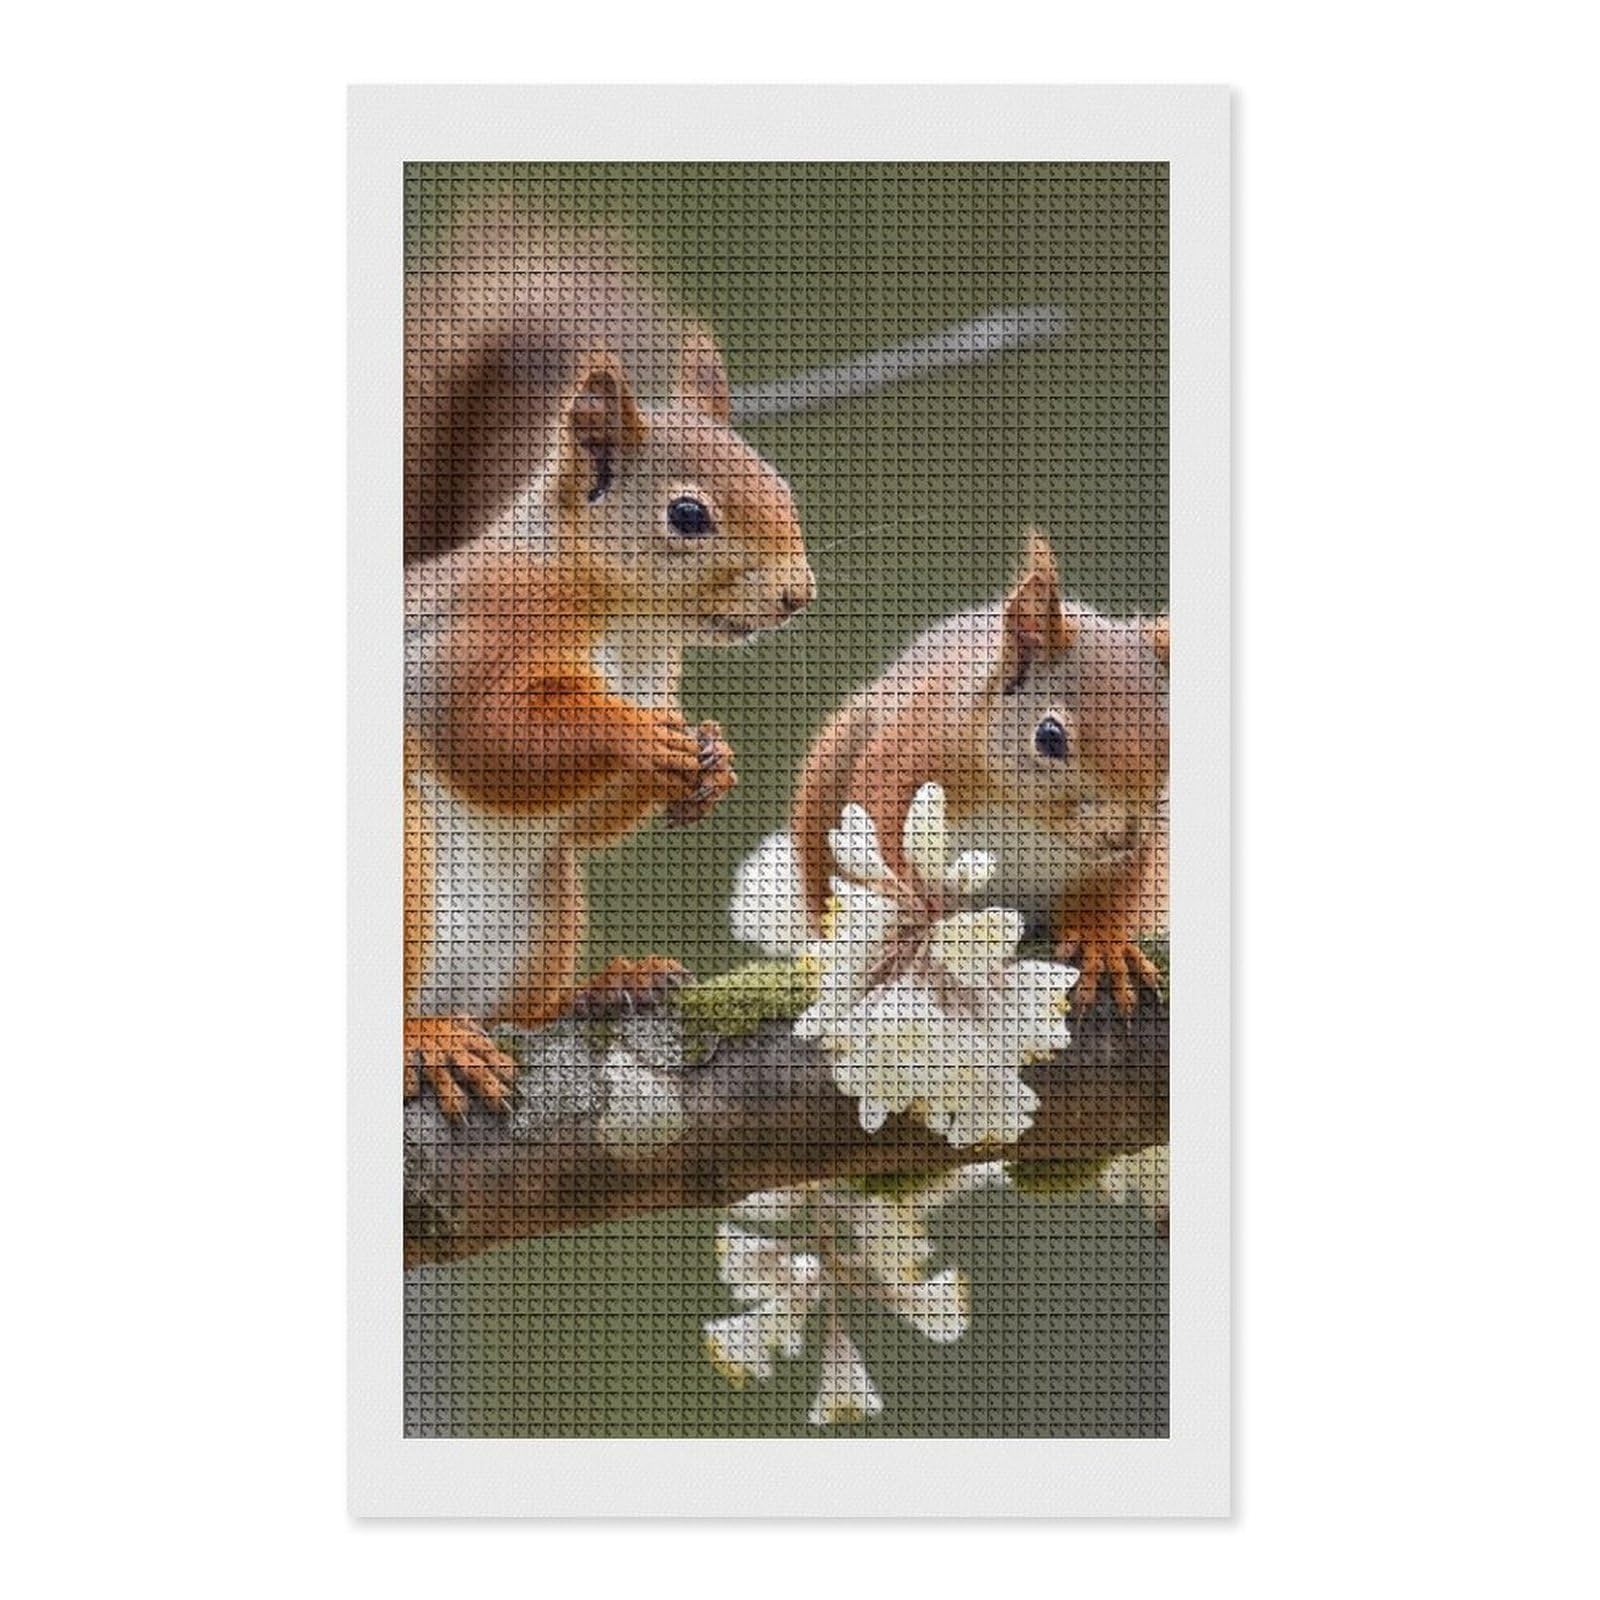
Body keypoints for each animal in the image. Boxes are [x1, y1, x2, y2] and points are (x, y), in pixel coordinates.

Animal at [405, 218, 815, 1116]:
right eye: (687, 514)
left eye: (781, 483)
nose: (798, 594)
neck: (629, 624)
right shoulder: (471, 644)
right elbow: (489, 736)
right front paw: (636, 738)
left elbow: (584, 818)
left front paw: (712, 759)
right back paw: (426, 1037)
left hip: (546, 907)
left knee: (522, 1010)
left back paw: (604, 987)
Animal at [790, 533, 1167, 1015]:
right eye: (1049, 737)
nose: (1121, 834)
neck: (1027, 816)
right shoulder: (910, 751)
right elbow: (884, 825)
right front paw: (913, 910)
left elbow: (1111, 894)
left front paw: (1103, 942)